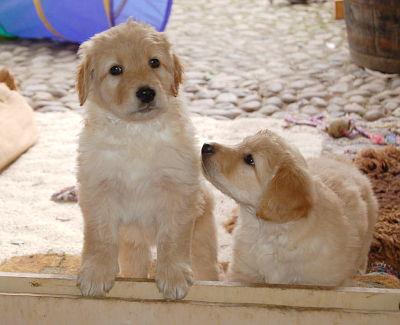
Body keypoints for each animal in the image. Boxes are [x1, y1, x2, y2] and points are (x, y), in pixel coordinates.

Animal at [75, 20, 219, 298]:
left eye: (154, 62)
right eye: (116, 69)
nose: (146, 93)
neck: (137, 132)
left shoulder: (178, 188)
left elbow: (172, 237)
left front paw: (173, 275)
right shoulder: (98, 188)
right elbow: (99, 236)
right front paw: (96, 272)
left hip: (202, 239)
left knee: (207, 267)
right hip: (133, 246)